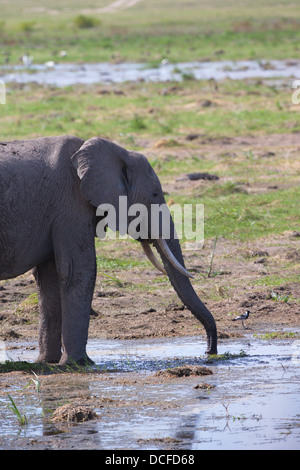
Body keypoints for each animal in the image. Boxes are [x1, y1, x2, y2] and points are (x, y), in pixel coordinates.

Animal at [0, 136, 217, 364]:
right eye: (155, 194)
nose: (209, 351)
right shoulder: (71, 204)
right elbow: (79, 270)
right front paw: (79, 364)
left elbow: (49, 278)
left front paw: (48, 363)